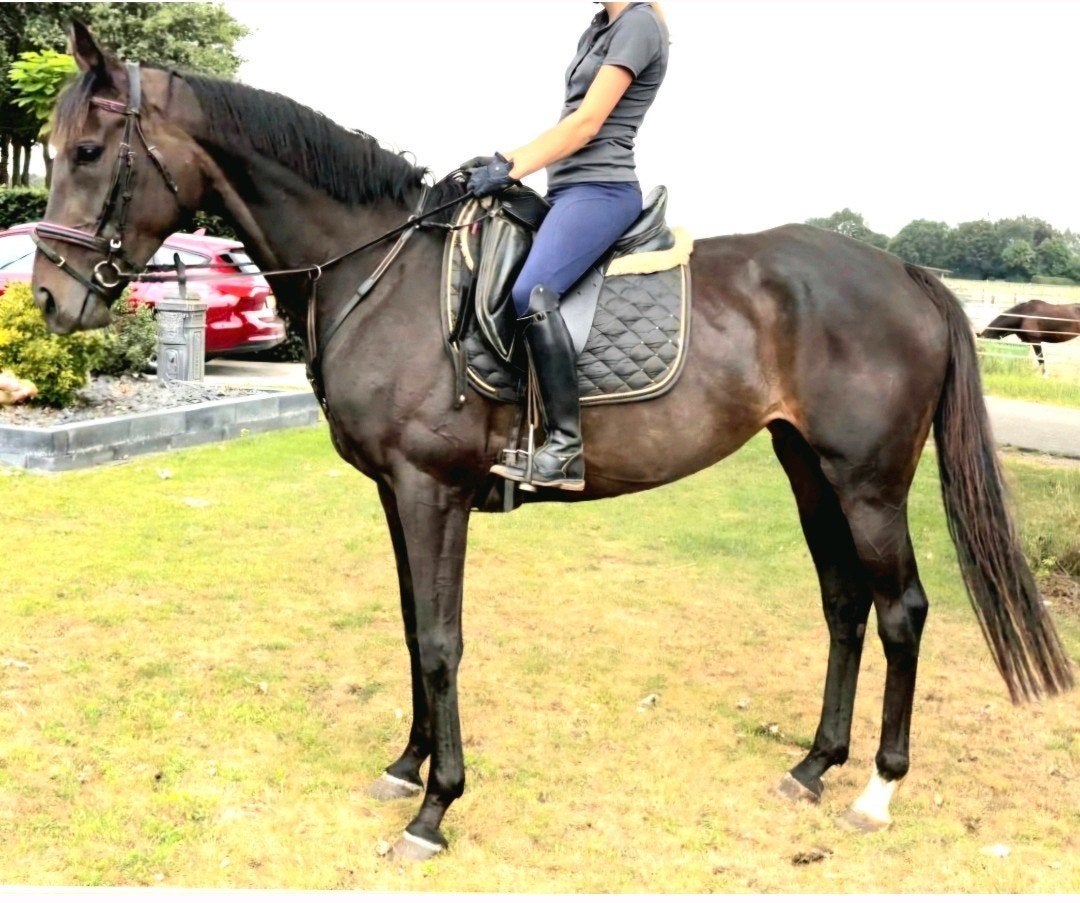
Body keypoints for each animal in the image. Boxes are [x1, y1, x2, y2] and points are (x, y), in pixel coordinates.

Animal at [30, 24, 1073, 861]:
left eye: (89, 148)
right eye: (45, 148)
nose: (47, 298)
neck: (384, 271)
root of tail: (905, 271)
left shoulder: (432, 488)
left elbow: (441, 638)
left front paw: (435, 809)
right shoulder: (394, 491)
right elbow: (410, 624)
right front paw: (406, 763)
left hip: (869, 482)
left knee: (902, 612)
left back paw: (877, 789)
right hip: (807, 466)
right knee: (846, 604)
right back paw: (815, 765)